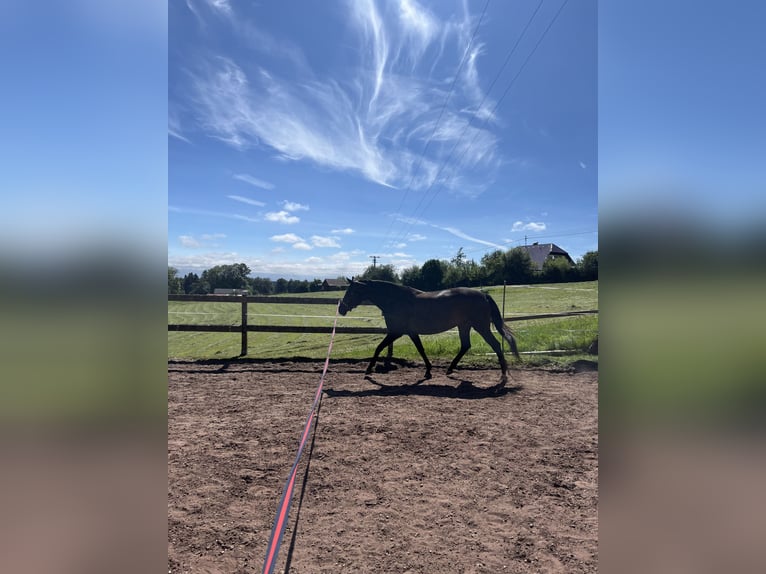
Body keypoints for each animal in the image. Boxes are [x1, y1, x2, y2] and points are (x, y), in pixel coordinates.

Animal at [338, 280, 520, 388]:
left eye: (351, 291)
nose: (341, 309)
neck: (396, 300)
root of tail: (483, 294)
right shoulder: (411, 332)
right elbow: (421, 349)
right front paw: (428, 371)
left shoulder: (396, 332)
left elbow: (378, 348)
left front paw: (368, 370)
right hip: (464, 326)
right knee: (466, 346)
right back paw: (449, 370)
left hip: (480, 326)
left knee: (495, 345)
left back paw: (503, 376)